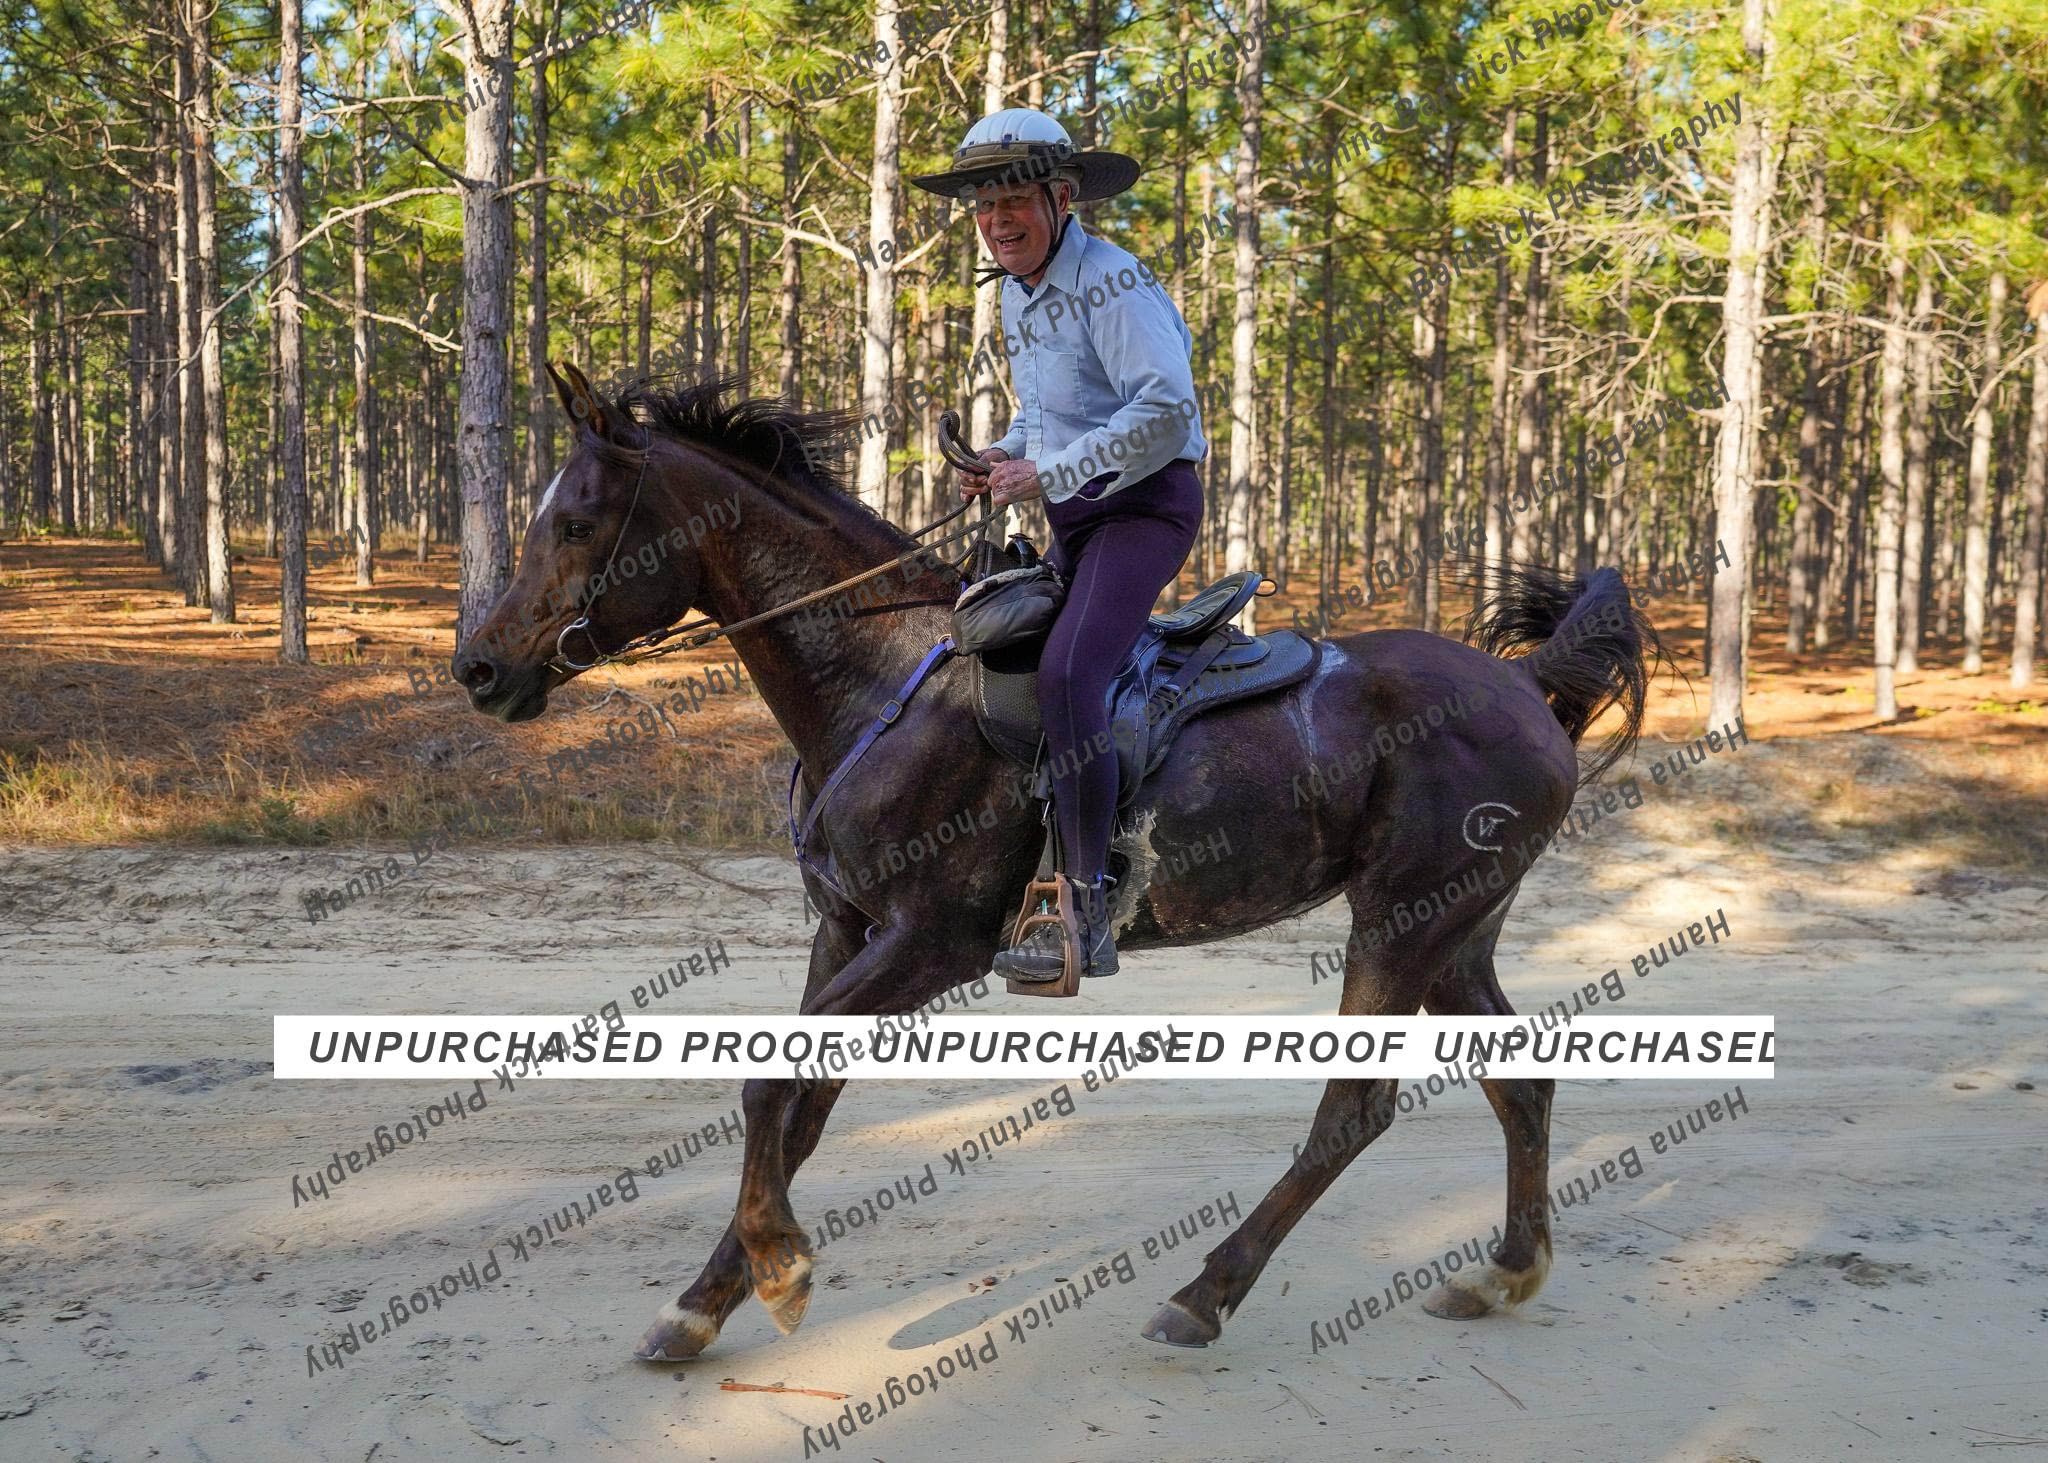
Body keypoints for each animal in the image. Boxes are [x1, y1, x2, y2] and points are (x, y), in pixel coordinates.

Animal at [452, 364, 1656, 1359]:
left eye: (577, 520)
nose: (479, 667)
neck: (883, 673)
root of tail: (1526, 685)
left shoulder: (928, 944)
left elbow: (768, 1084)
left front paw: (780, 1269)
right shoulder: (847, 932)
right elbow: (799, 1107)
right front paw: (708, 1297)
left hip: (1400, 924)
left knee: (1352, 1113)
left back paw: (1203, 1293)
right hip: (1456, 929)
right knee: (1520, 1078)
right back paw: (1505, 1269)